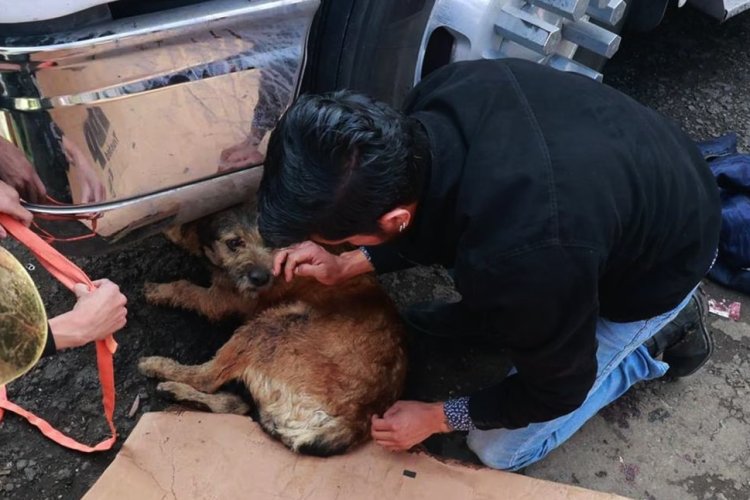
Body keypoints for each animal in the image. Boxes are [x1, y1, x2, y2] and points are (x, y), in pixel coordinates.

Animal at [141, 203, 412, 458]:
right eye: (234, 243)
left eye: (270, 242)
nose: (262, 278)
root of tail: (351, 422)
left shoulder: (221, 299)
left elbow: (185, 289)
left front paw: (157, 290)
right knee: (237, 403)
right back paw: (175, 392)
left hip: (271, 324)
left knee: (208, 378)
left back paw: (158, 367)